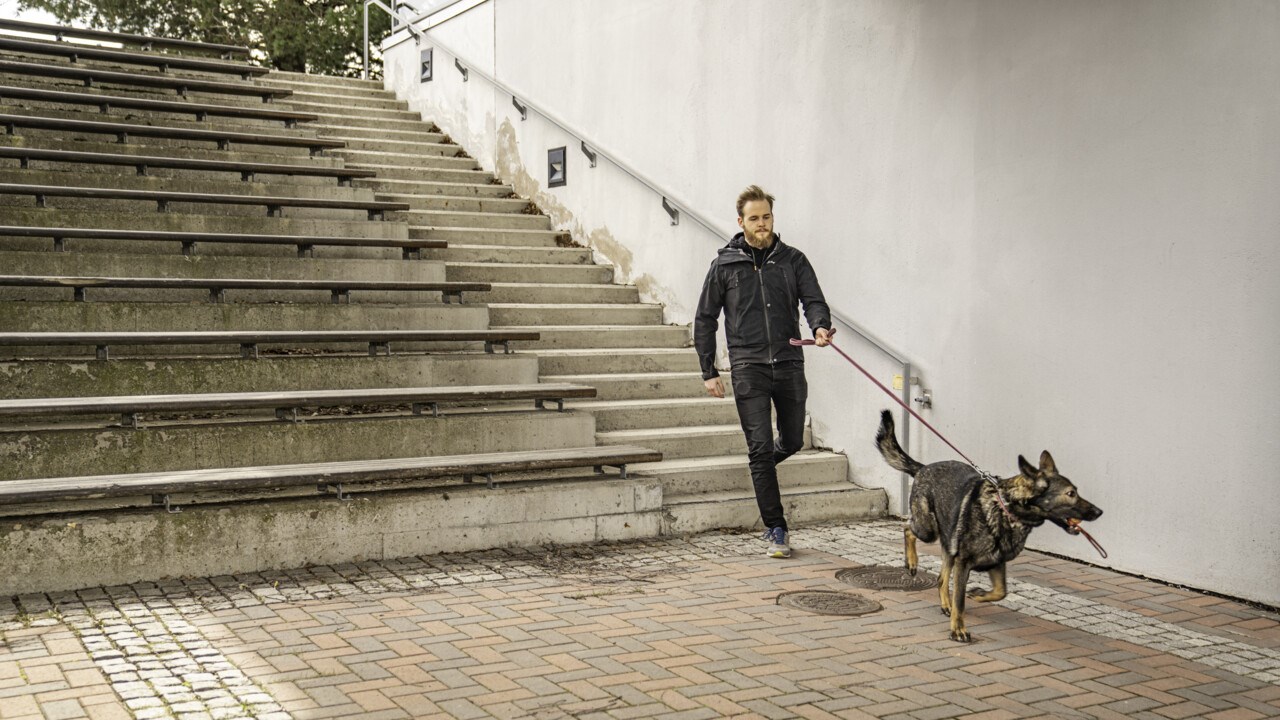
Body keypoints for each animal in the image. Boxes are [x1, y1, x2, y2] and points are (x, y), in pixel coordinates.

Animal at [880, 409, 1100, 638]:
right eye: (1071, 494)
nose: (1098, 512)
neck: (1006, 510)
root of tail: (924, 468)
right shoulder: (963, 563)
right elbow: (960, 601)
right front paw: (958, 629)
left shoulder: (996, 562)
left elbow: (1001, 592)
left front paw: (978, 595)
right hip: (928, 529)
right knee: (908, 529)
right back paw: (912, 562)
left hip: (948, 544)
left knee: (941, 578)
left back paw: (945, 604)